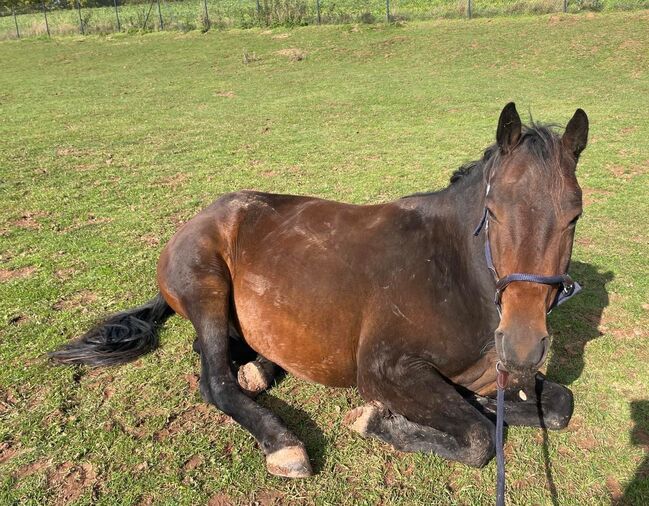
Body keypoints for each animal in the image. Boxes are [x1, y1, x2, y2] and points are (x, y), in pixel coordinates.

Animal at [50, 103, 588, 478]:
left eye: (574, 216)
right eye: (493, 211)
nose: (522, 346)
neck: (452, 268)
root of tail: (201, 216)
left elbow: (557, 405)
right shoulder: (386, 368)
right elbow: (478, 437)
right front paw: (378, 421)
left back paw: (260, 367)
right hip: (205, 285)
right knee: (214, 379)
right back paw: (282, 443)